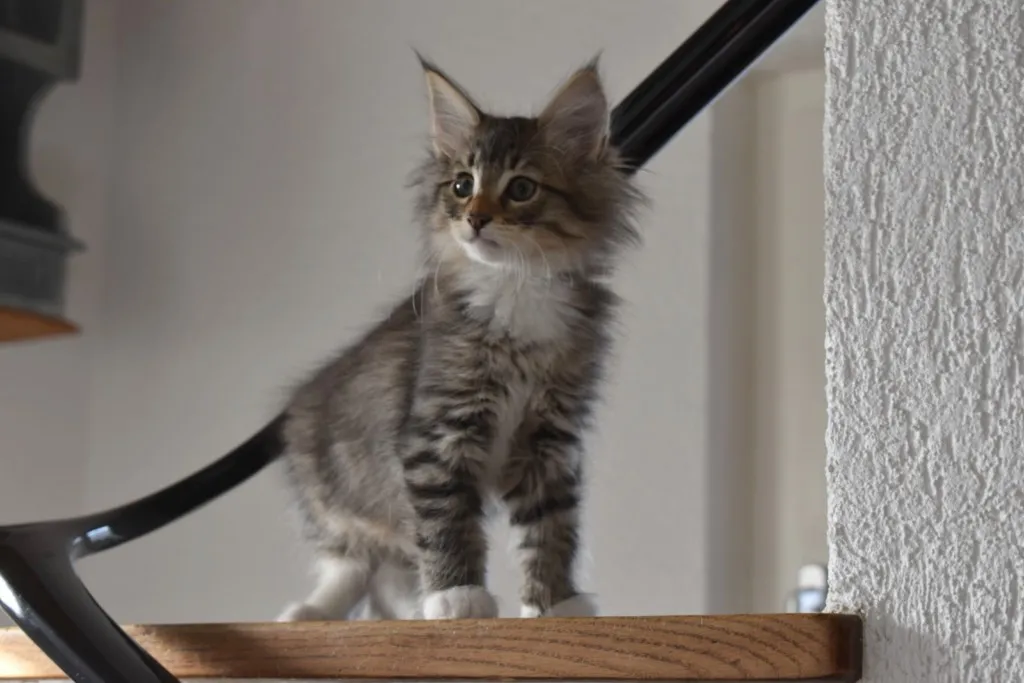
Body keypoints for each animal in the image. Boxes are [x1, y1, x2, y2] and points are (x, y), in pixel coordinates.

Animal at [276, 55, 644, 622]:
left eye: (521, 188)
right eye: (462, 186)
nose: (475, 219)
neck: (515, 288)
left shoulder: (550, 439)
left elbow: (552, 526)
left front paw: (556, 602)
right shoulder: (439, 431)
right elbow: (447, 520)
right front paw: (458, 595)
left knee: (386, 577)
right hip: (334, 491)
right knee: (353, 562)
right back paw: (314, 612)